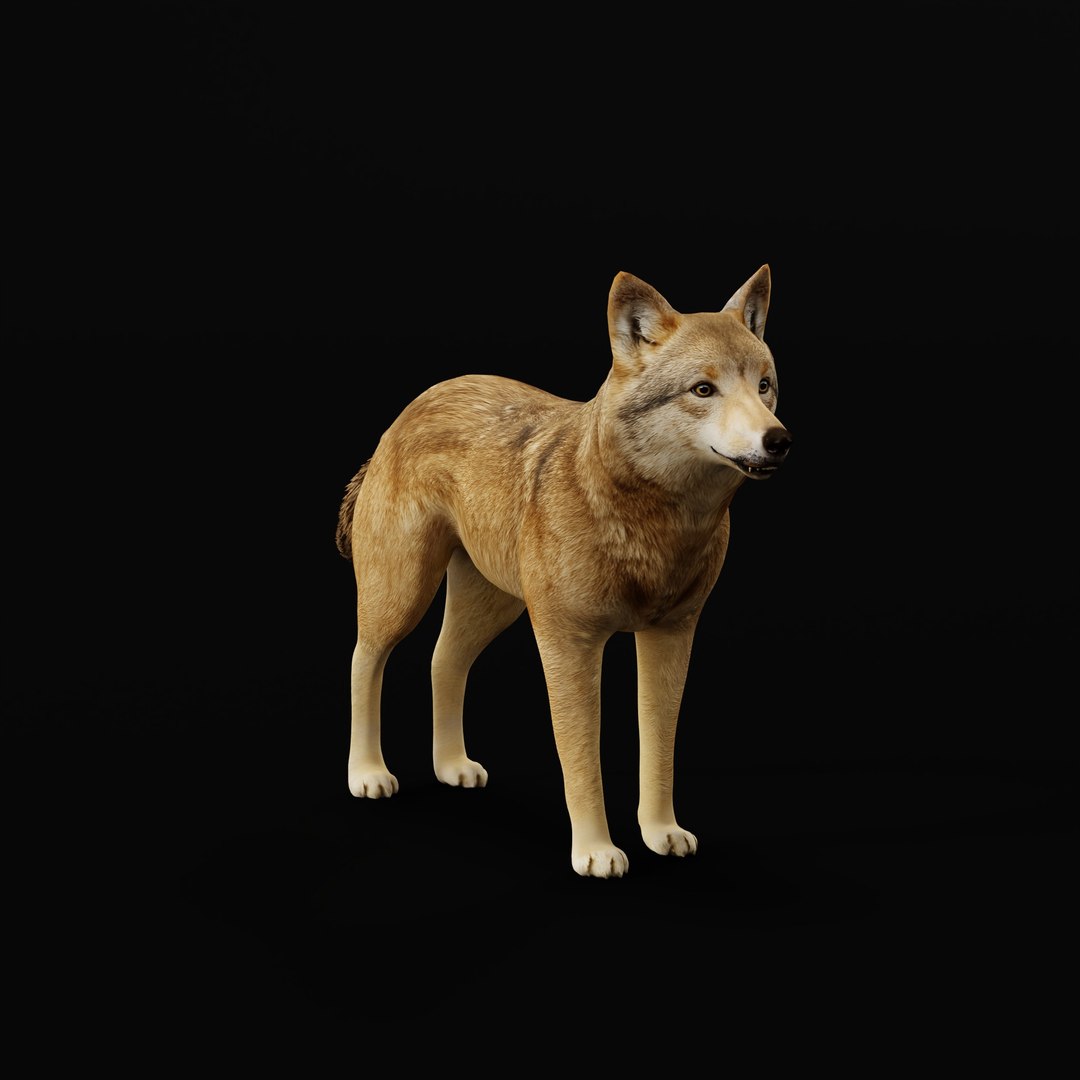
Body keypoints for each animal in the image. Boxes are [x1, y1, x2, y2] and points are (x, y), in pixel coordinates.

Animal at [335, 266, 792, 877]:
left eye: (764, 385)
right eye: (703, 390)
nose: (779, 440)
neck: (655, 523)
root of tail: (413, 406)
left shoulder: (672, 637)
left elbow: (659, 747)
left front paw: (661, 833)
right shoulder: (568, 643)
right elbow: (582, 760)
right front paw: (596, 851)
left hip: (493, 605)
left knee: (442, 661)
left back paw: (452, 765)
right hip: (404, 593)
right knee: (365, 659)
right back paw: (367, 773)